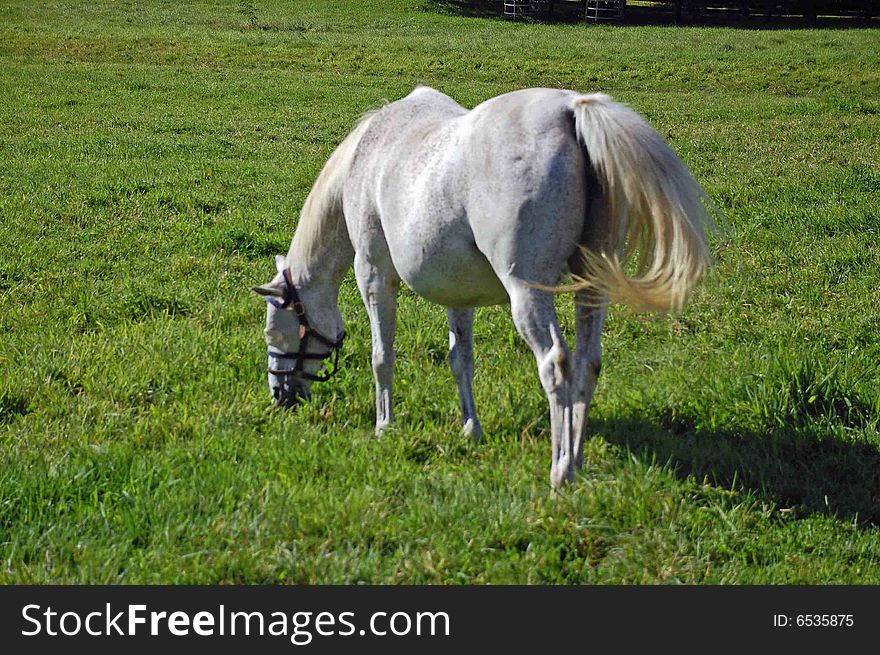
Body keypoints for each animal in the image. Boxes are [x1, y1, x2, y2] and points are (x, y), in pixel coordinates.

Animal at [251, 86, 712, 486]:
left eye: (276, 331)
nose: (280, 394)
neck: (367, 157)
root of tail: (571, 110)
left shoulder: (374, 277)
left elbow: (382, 356)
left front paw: (384, 425)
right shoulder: (460, 297)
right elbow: (462, 360)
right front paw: (471, 427)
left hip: (528, 294)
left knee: (557, 364)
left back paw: (561, 471)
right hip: (592, 289)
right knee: (588, 363)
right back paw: (577, 459)